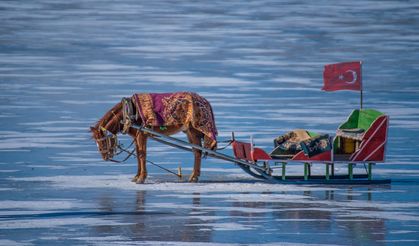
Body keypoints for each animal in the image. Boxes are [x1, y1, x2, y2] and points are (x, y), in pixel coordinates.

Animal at [90, 92, 218, 183]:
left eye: (102, 141)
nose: (105, 157)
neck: (128, 113)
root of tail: (205, 101)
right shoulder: (137, 136)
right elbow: (138, 154)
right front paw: (137, 176)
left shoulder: (141, 135)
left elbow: (142, 155)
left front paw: (141, 178)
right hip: (189, 131)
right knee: (197, 151)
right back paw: (194, 175)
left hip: (193, 131)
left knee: (197, 152)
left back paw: (194, 176)